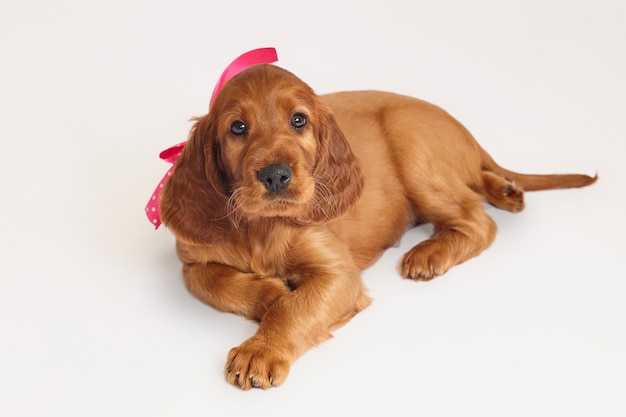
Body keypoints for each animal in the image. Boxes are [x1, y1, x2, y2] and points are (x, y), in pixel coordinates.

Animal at [160, 63, 596, 388]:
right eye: (237, 127)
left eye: (298, 120)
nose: (276, 175)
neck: (261, 227)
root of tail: (466, 134)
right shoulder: (193, 263)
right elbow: (216, 283)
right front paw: (270, 293)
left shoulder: (338, 273)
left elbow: (295, 309)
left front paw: (260, 350)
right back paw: (507, 191)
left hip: (412, 146)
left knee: (478, 220)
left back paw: (430, 251)